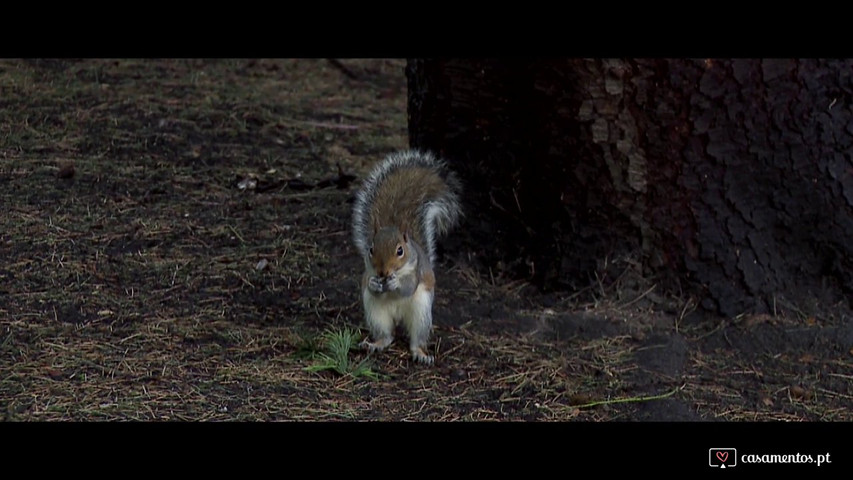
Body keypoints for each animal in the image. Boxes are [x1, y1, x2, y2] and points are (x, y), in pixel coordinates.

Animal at [352, 149, 462, 364]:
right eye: (371, 249)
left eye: (400, 251)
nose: (383, 271)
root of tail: (398, 317)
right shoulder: (368, 271)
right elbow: (369, 283)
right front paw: (375, 284)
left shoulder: (416, 271)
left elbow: (409, 287)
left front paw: (396, 283)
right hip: (377, 314)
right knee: (387, 336)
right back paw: (375, 344)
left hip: (421, 314)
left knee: (416, 338)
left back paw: (420, 354)